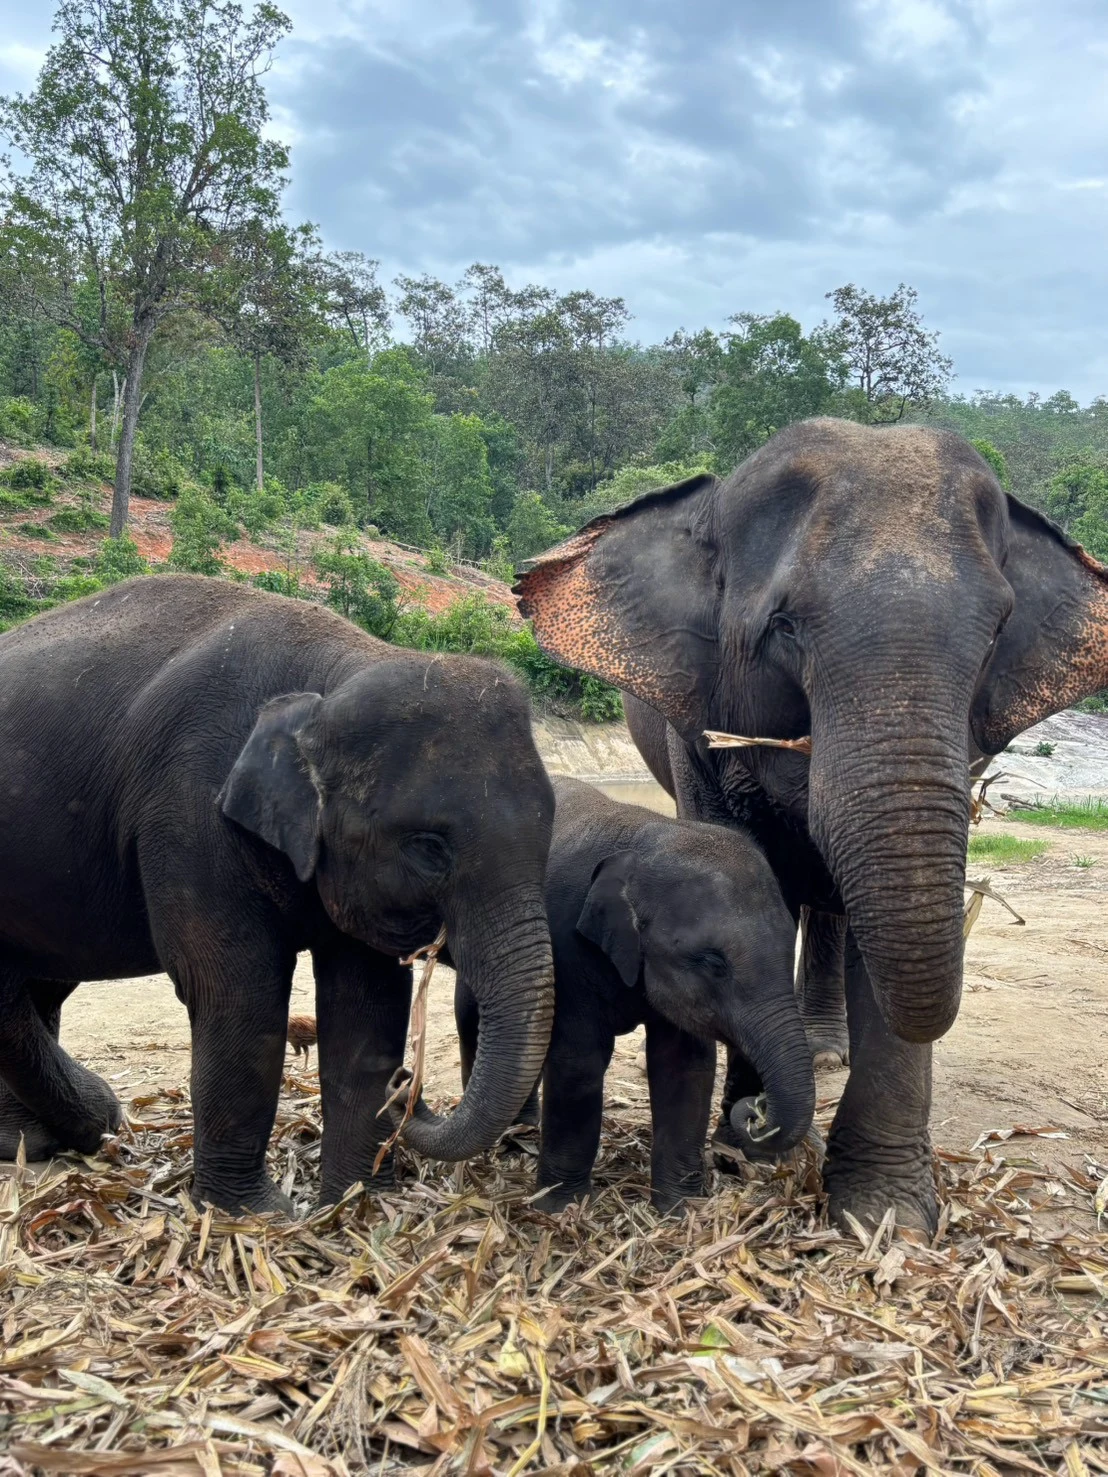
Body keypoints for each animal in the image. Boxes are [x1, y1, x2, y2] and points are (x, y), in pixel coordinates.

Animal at [0, 574, 555, 1214]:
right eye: (428, 847)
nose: (405, 1088)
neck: (335, 676)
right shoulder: (190, 812)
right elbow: (239, 991)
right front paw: (252, 1215)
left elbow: (367, 1001)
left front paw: (355, 1204)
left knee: (38, 986)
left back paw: (44, 1140)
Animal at [452, 777, 814, 1215]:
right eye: (713, 962)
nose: (755, 1113)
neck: (645, 840)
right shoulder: (565, 940)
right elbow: (578, 1061)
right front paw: (561, 1209)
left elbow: (683, 1063)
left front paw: (680, 1208)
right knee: (475, 1017)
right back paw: (508, 1140)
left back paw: (523, 1130)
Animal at [517, 417, 1108, 1233]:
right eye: (784, 627)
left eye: (996, 633)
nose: (757, 1116)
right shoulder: (693, 727)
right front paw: (741, 1140)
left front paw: (884, 1217)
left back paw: (828, 1053)